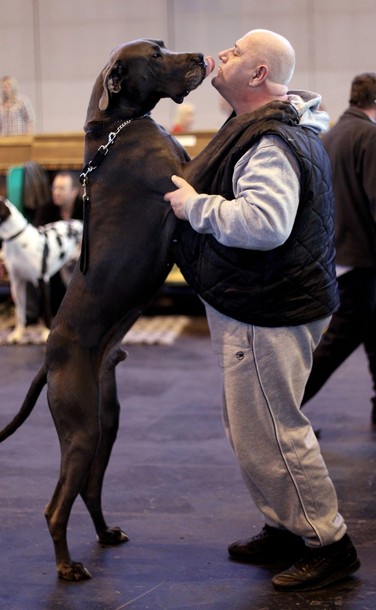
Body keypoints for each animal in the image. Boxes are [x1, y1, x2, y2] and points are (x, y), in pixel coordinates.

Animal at [0, 197, 82, 344]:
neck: (17, 240)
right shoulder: (17, 283)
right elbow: (19, 312)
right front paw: (17, 334)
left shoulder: (42, 281)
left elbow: (45, 311)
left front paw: (45, 334)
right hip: (68, 275)